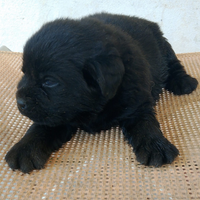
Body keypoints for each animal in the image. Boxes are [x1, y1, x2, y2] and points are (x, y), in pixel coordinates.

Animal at [5, 12, 198, 173]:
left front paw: (156, 146)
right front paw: (25, 148)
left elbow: (145, 123)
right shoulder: (57, 114)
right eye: (24, 73)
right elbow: (41, 126)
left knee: (174, 64)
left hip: (164, 46)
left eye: (49, 82)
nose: (19, 102)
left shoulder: (138, 102)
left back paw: (184, 82)